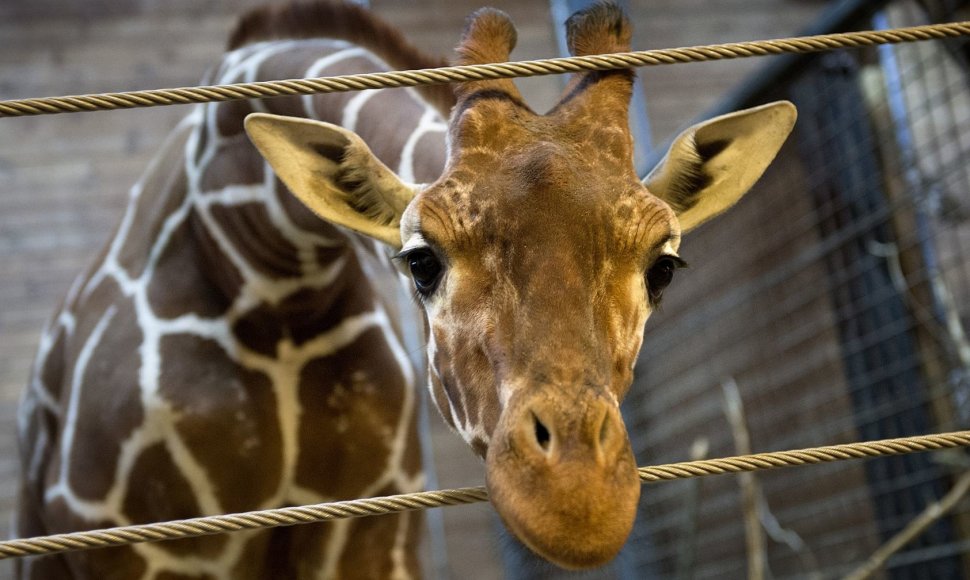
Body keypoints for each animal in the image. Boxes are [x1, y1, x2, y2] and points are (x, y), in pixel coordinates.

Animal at [17, 2, 796, 576]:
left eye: (663, 266)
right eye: (421, 261)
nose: (577, 502)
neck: (268, 274)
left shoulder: (370, 529)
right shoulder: (133, 544)